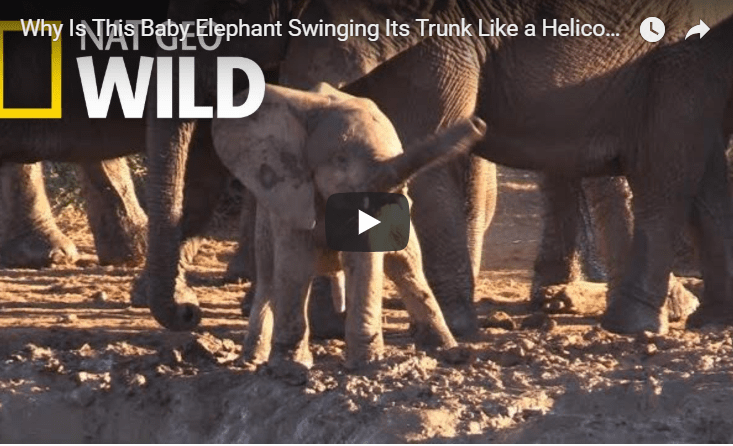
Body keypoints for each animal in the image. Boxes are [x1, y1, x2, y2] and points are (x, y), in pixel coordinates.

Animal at [211, 83, 485, 375]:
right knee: (268, 278)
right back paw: (251, 361)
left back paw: (450, 353)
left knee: (406, 266)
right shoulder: (292, 194)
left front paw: (366, 366)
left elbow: (363, 259)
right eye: (341, 160)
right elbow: (295, 264)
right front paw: (290, 369)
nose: (478, 123)